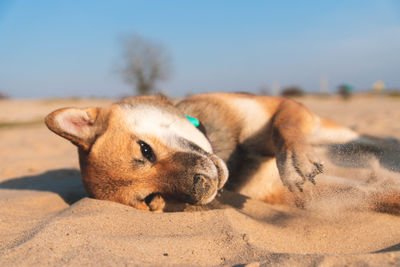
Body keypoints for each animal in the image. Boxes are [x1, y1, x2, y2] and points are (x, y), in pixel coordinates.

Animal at [45, 93, 396, 213]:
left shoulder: (282, 108)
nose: (202, 188)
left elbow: (285, 128)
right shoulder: (289, 195)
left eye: (145, 150)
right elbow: (382, 195)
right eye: (153, 199)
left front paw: (294, 162)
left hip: (337, 131)